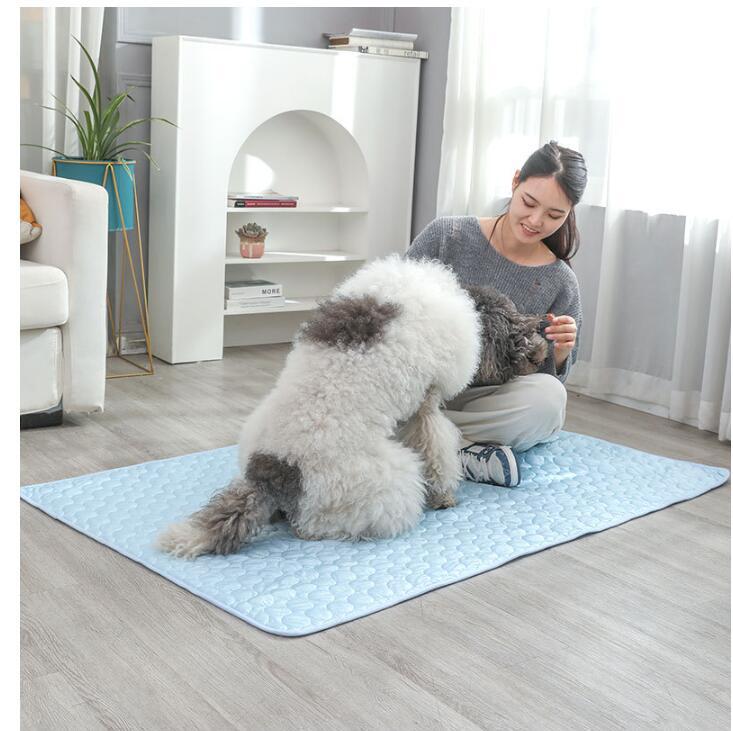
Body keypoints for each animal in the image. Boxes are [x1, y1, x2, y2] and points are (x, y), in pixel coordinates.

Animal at [156, 255, 548, 558]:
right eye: (516, 328)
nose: (542, 351)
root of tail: (273, 472)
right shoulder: (426, 406)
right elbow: (437, 452)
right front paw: (444, 495)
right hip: (389, 481)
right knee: (313, 528)